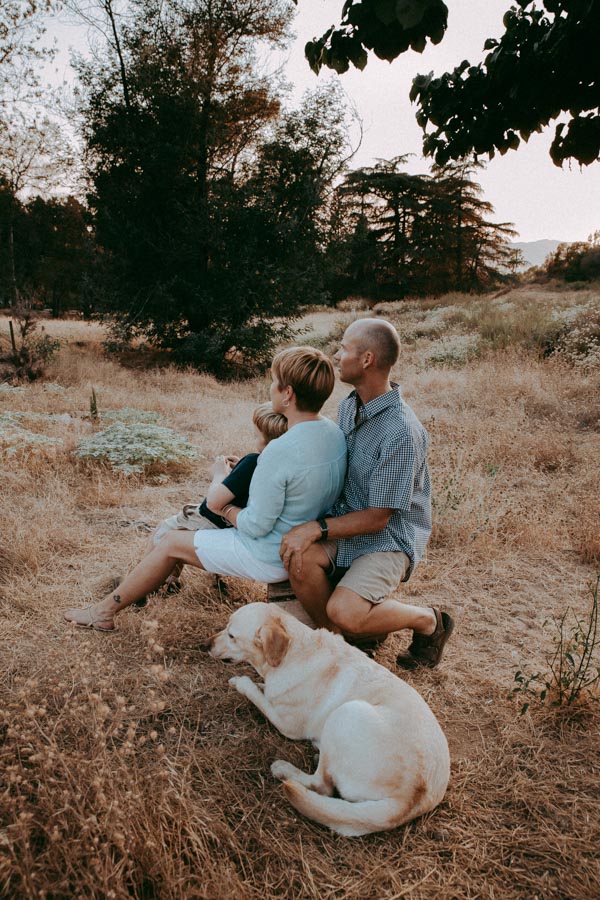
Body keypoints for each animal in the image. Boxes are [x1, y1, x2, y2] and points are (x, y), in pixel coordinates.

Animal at [205, 602, 450, 836]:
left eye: (232, 635)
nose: (206, 645)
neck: (293, 653)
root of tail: (411, 800)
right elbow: (263, 689)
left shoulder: (287, 725)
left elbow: (256, 693)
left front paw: (241, 683)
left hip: (346, 712)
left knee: (321, 785)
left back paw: (285, 769)